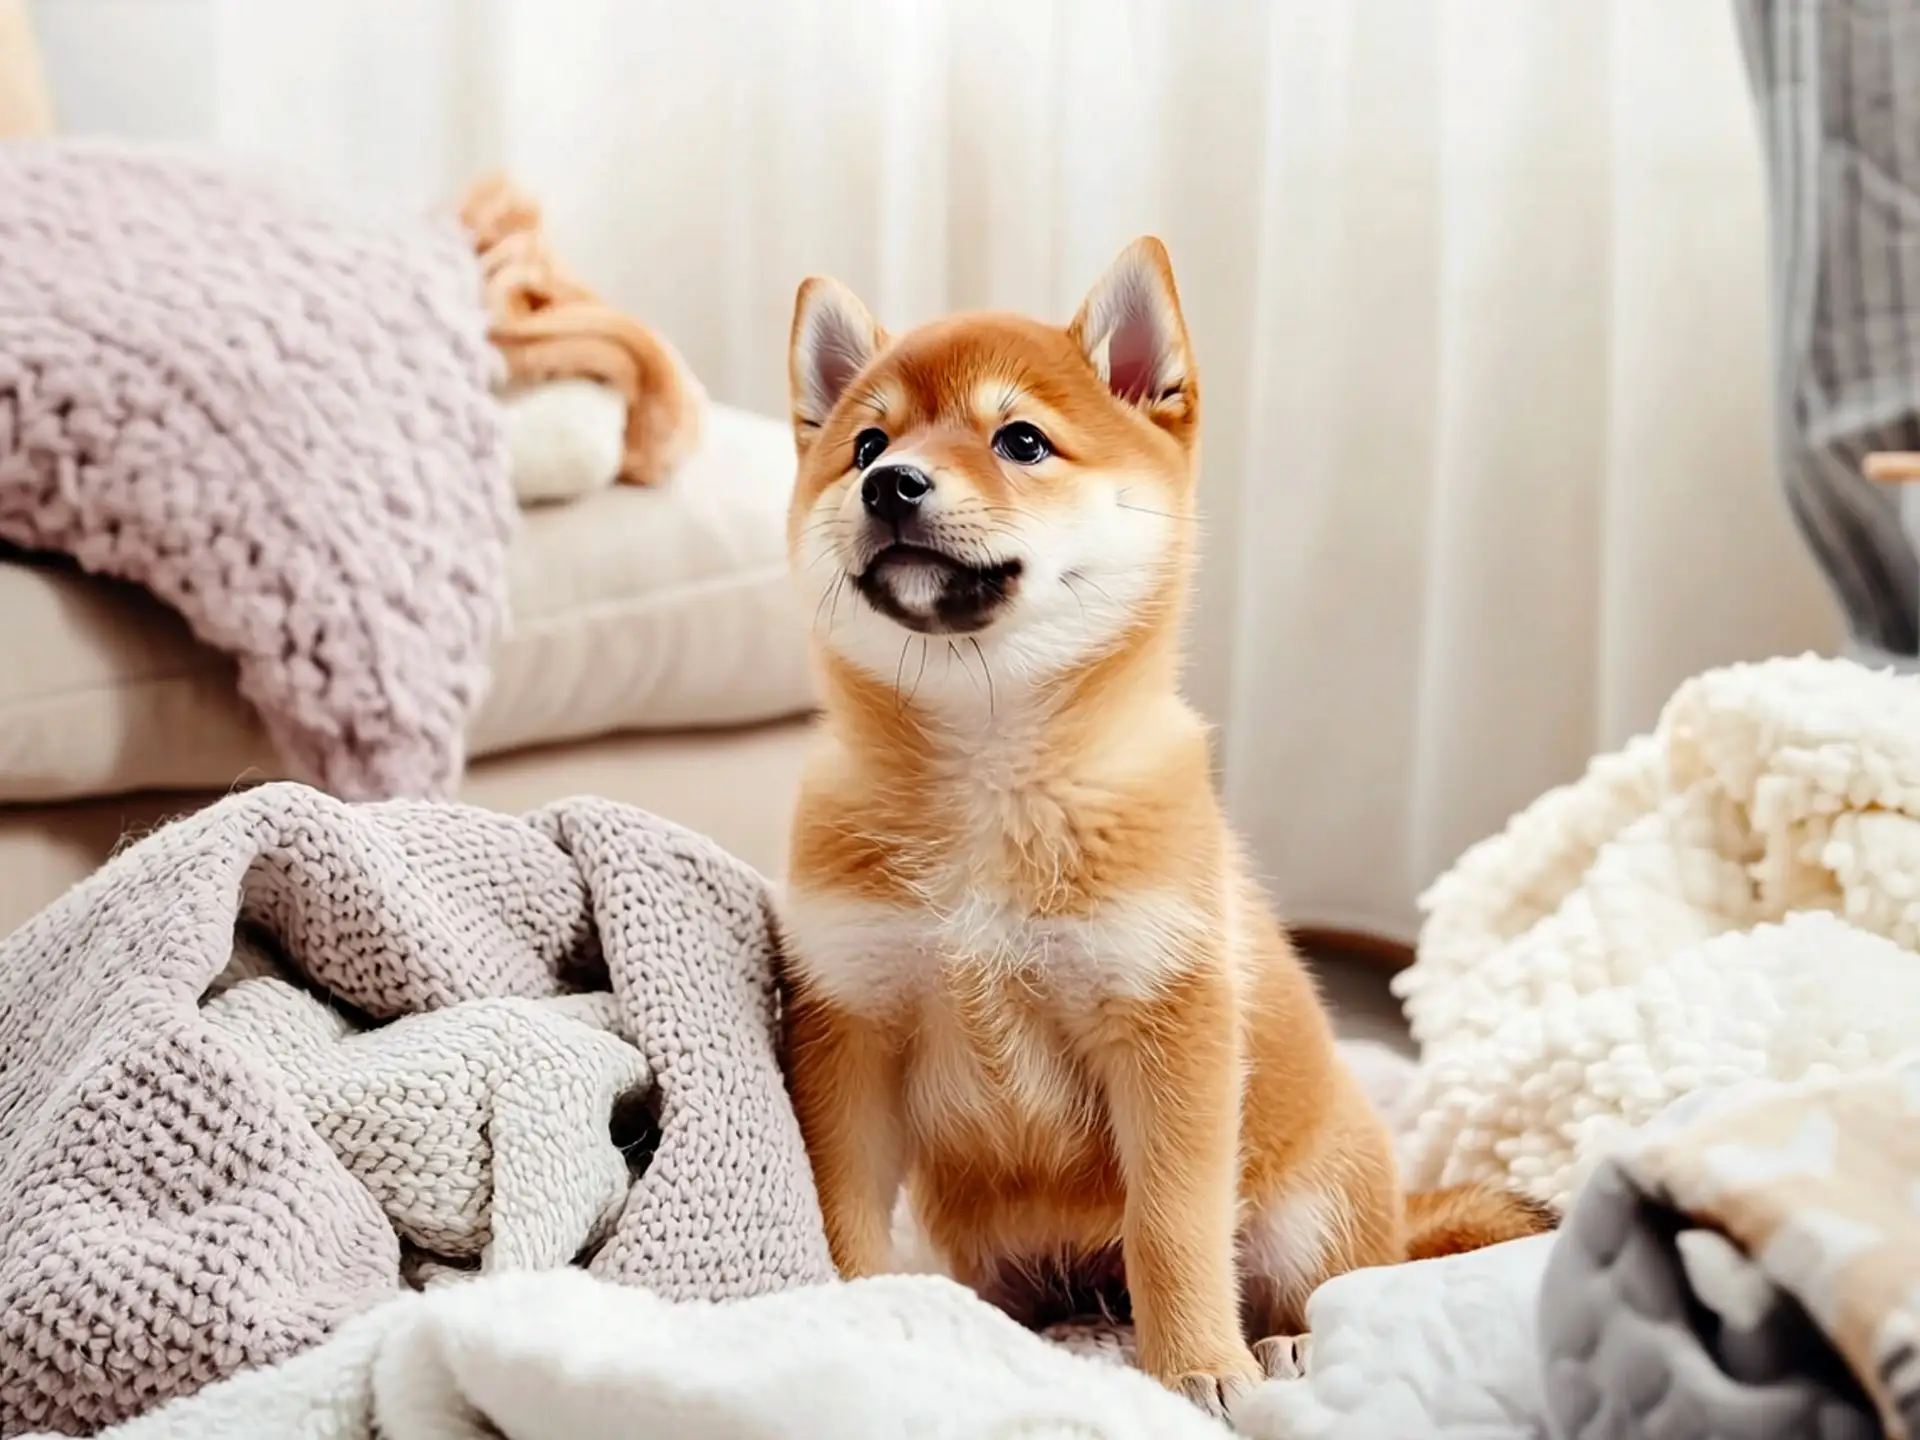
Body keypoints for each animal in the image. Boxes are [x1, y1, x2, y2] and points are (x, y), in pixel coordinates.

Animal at [771, 237, 1551, 1420]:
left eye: (1021, 440)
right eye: (867, 441)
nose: (888, 483)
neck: (988, 774)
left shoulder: (1166, 1032)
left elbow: (1173, 1231)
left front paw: (1198, 1370)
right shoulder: (852, 1032)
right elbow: (843, 1209)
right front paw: (857, 1316)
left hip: (1310, 1207)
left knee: (1334, 1285)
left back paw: (1282, 1344)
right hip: (996, 1249)